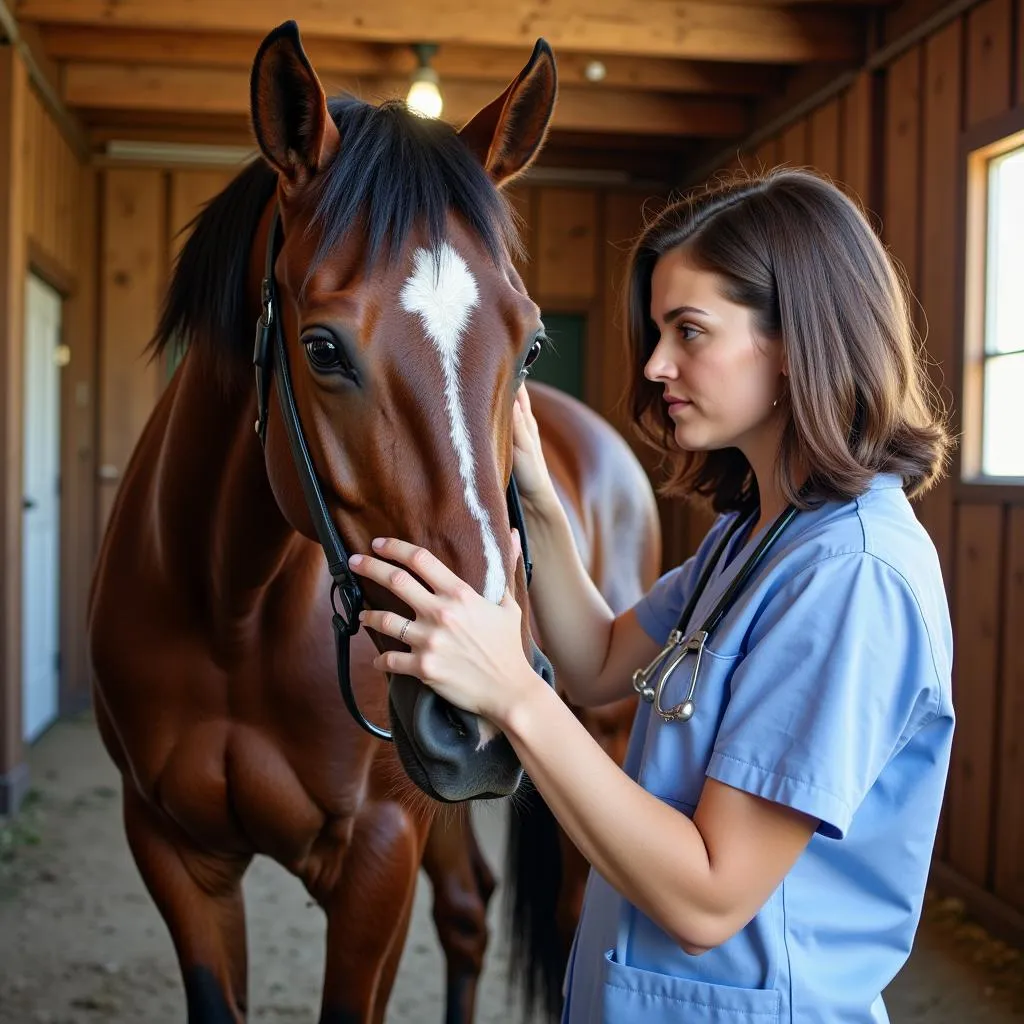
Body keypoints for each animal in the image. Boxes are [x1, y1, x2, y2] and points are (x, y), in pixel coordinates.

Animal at [90, 18, 655, 1024]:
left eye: (531, 345)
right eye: (321, 348)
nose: (480, 706)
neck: (230, 613)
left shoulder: (378, 855)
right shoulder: (174, 852)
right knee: (469, 911)